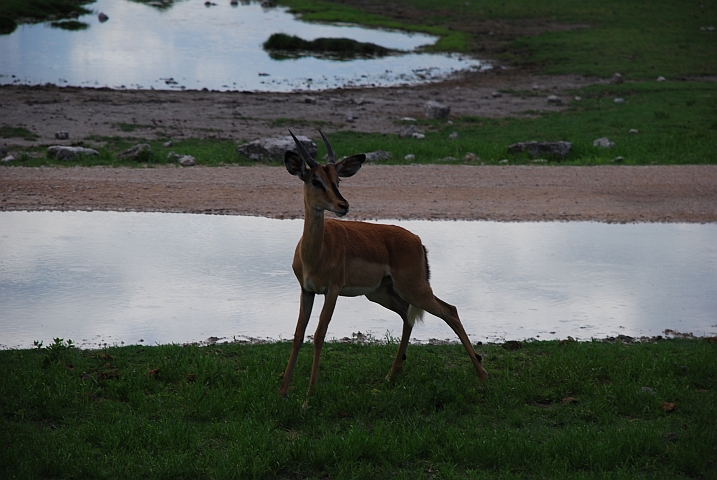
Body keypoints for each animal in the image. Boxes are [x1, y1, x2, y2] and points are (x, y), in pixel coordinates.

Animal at [279, 130, 488, 398]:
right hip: (382, 293)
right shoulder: (307, 290)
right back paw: (391, 376)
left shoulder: (332, 291)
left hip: (414, 288)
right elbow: (298, 334)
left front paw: (309, 396)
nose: (343, 205)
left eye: (338, 180)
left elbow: (319, 334)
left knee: (449, 311)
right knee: (408, 316)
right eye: (315, 180)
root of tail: (418, 241)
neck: (315, 254)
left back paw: (482, 376)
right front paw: (283, 391)